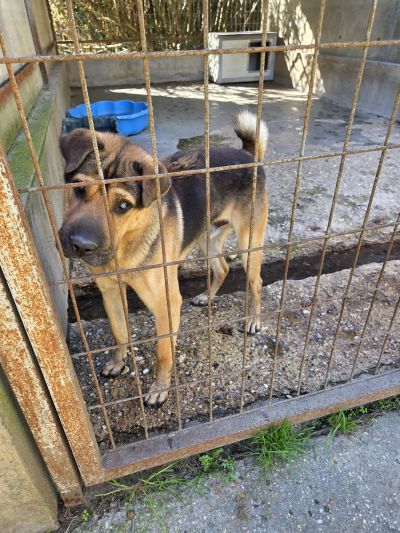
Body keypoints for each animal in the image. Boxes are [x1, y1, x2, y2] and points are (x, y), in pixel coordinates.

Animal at [59, 111, 268, 406]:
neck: (125, 246)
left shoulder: (165, 303)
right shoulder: (110, 292)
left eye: (123, 205)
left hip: (249, 244)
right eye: (78, 189)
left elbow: (163, 352)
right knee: (223, 268)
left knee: (256, 281)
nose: (79, 245)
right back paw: (206, 296)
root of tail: (248, 155)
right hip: (205, 239)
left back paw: (253, 320)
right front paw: (118, 362)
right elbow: (119, 332)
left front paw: (160, 388)